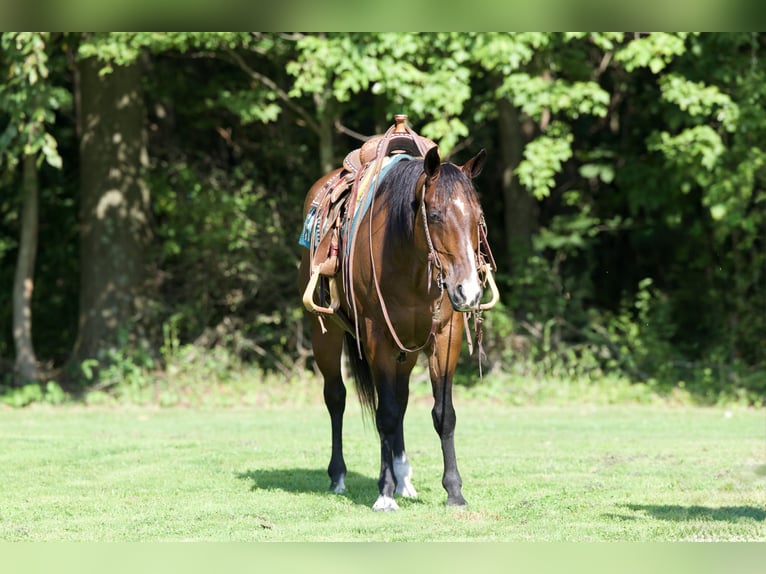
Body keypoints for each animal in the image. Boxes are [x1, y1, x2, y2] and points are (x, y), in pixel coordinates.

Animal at [298, 136, 497, 511]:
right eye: (434, 215)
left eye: (478, 218)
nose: (467, 290)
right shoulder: (378, 338)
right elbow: (385, 414)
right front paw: (384, 492)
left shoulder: (443, 338)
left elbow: (442, 414)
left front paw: (454, 491)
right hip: (326, 335)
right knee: (337, 397)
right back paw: (339, 475)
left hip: (408, 348)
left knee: (401, 400)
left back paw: (404, 476)